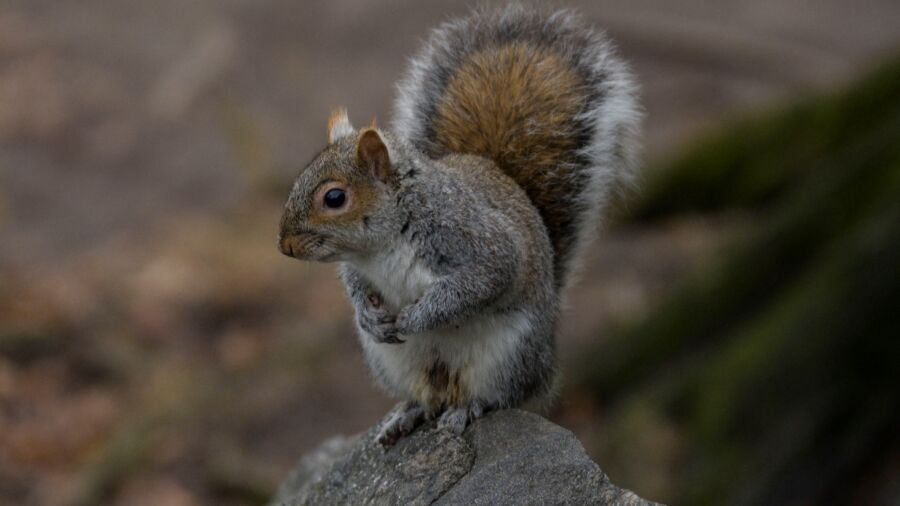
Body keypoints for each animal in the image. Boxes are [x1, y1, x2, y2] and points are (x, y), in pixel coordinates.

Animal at [278, 3, 640, 446]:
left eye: (334, 198)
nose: (284, 245)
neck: (382, 245)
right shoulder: (359, 266)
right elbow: (355, 284)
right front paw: (369, 315)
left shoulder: (470, 238)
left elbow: (480, 280)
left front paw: (415, 318)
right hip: (392, 361)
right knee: (426, 396)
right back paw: (407, 413)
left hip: (507, 355)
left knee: (497, 396)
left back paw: (466, 409)